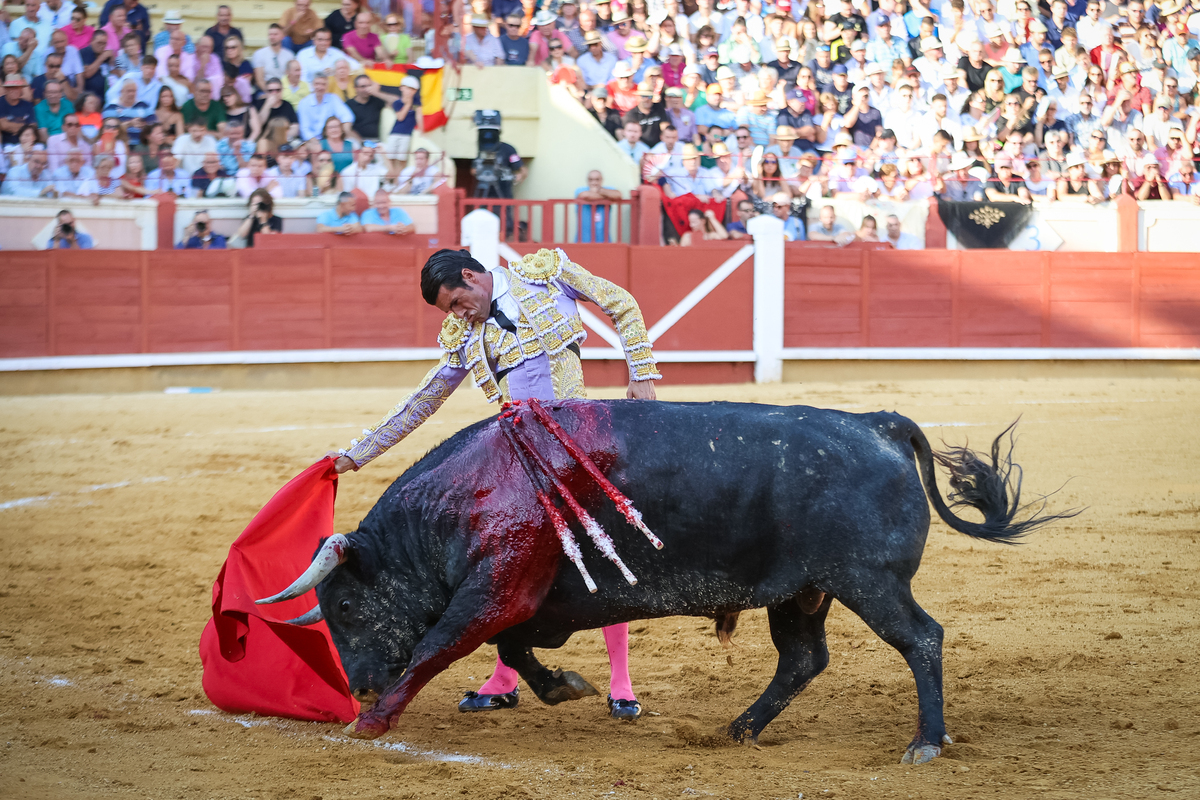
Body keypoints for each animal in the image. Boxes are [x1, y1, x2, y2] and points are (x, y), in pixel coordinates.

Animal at [262, 400, 1070, 762]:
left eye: (344, 603)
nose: (361, 685)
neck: (471, 492)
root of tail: (879, 422)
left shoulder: (494, 593)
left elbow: (438, 646)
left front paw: (373, 723)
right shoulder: (522, 604)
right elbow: (515, 650)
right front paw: (565, 687)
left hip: (870, 582)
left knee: (921, 639)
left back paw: (926, 743)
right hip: (802, 593)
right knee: (803, 658)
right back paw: (739, 729)